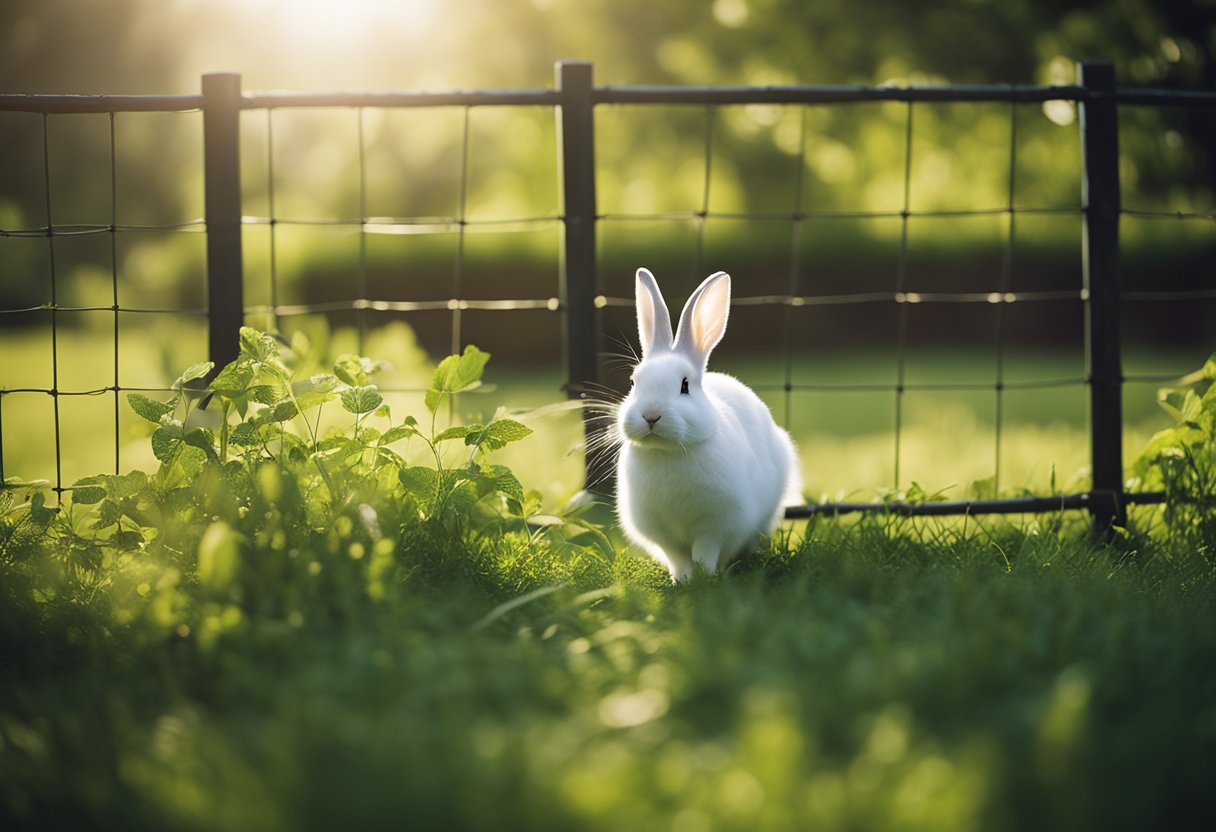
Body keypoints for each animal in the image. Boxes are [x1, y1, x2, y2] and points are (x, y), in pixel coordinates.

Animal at [612, 270, 802, 581]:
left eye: (685, 386)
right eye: (633, 383)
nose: (651, 416)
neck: (668, 453)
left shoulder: (715, 523)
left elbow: (705, 551)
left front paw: (705, 577)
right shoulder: (663, 532)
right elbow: (677, 557)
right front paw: (682, 580)